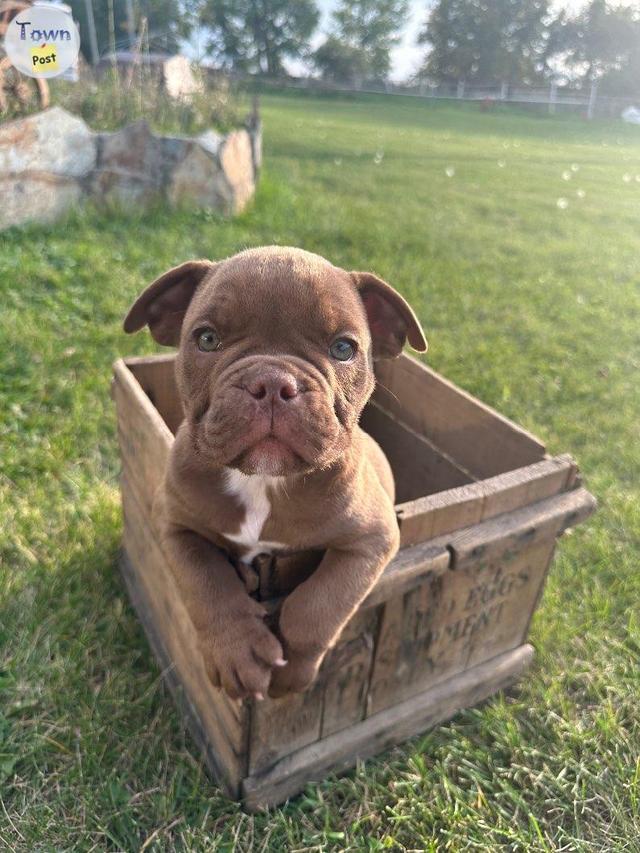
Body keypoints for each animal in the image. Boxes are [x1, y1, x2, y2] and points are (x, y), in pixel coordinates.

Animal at [123, 246, 428, 700]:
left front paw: (294, 668)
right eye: (206, 339)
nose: (271, 382)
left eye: (343, 348)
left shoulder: (372, 538)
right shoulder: (173, 523)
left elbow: (318, 604)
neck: (262, 481)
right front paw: (237, 653)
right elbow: (205, 580)